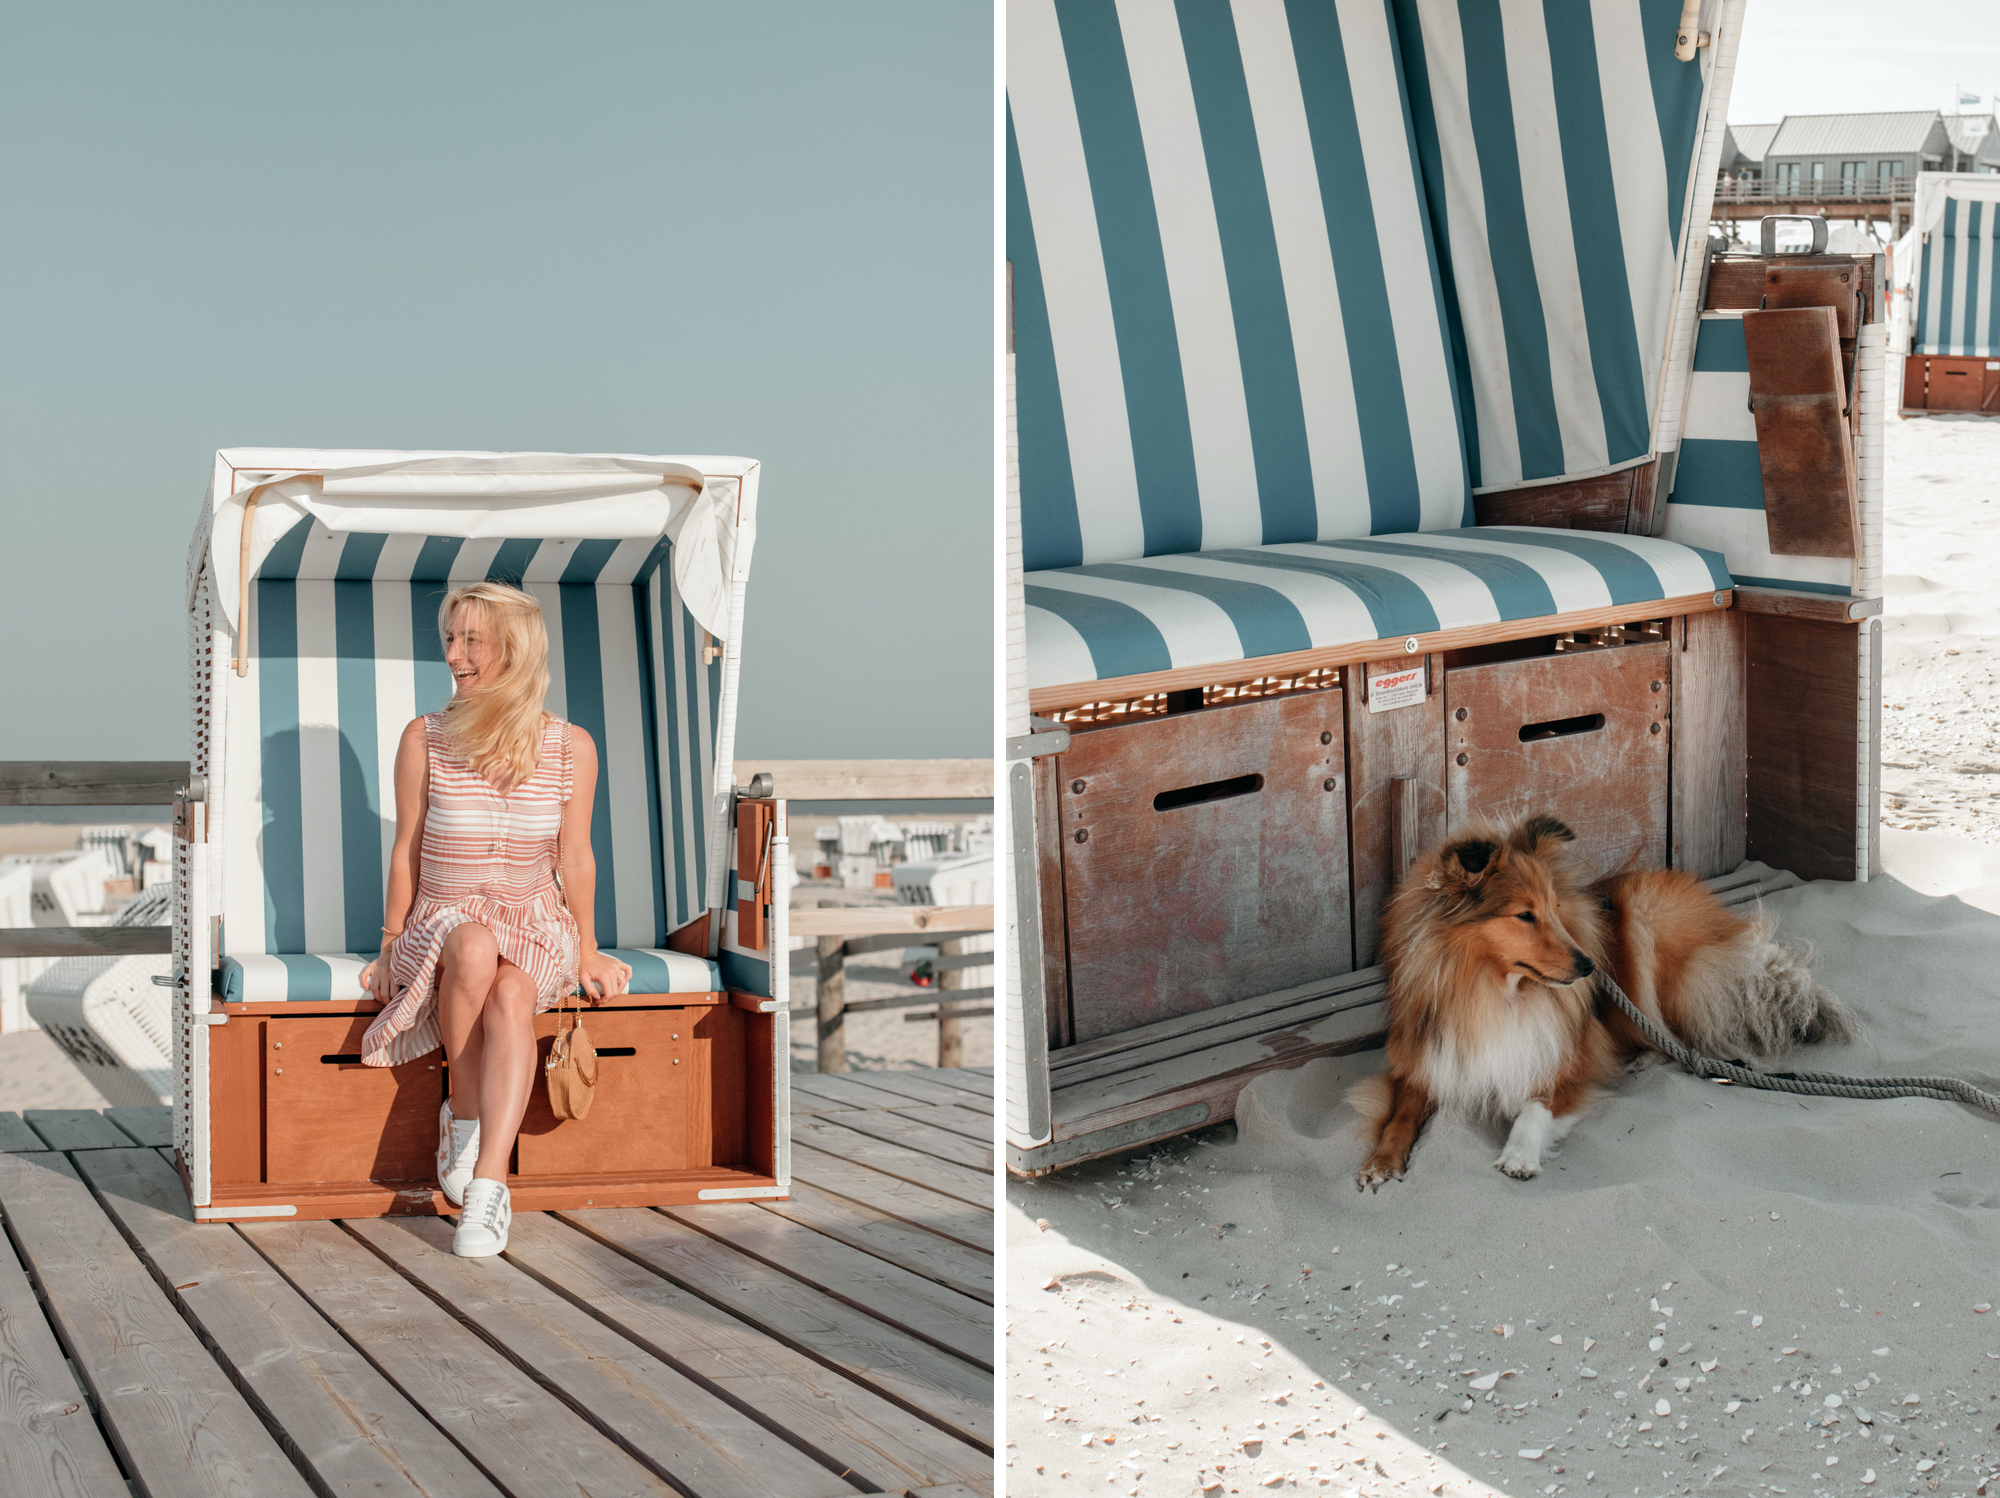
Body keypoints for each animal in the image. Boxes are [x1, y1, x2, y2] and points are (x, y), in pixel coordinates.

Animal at [1352, 812, 1848, 1184]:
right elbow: (1401, 1113)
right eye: (1525, 915)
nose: (1590, 966)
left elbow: (1533, 1109)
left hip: (1648, 920)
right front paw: (1382, 1161)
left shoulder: (1565, 1062)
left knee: (1680, 1036)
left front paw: (1518, 1155)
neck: (1491, 990)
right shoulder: (1431, 1056)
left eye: (1555, 908)